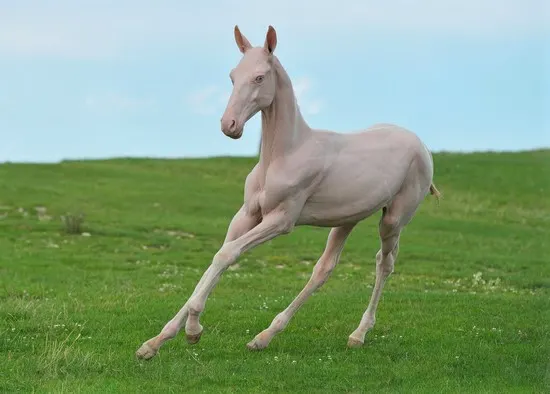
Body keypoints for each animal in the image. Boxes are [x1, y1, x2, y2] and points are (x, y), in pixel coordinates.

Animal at [136, 23, 442, 358]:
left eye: (259, 77)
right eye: (232, 76)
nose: (229, 125)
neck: (283, 155)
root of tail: (422, 145)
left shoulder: (281, 220)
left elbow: (228, 254)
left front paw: (193, 330)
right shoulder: (246, 215)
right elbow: (218, 256)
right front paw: (155, 342)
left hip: (394, 218)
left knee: (384, 263)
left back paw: (358, 334)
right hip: (347, 219)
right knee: (324, 268)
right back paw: (265, 335)